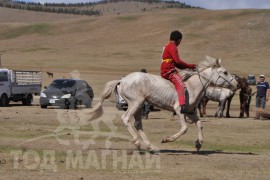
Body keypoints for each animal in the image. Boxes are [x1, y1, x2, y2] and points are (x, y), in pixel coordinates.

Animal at [87, 56, 238, 152]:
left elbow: (200, 124)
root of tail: (122, 80)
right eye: (225, 72)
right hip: (135, 103)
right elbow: (184, 129)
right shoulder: (179, 110)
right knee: (125, 119)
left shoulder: (190, 112)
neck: (192, 86)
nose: (236, 84)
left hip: (139, 106)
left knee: (138, 124)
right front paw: (166, 139)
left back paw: (150, 147)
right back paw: (137, 141)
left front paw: (198, 144)